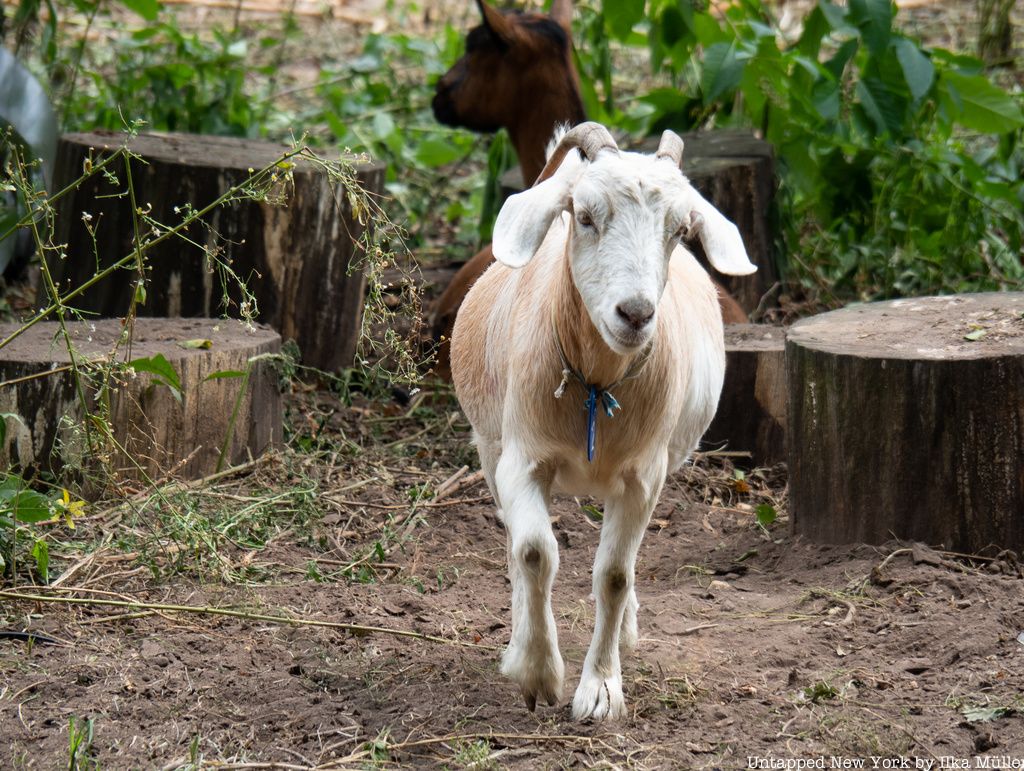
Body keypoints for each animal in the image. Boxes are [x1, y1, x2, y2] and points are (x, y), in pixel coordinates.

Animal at [452, 121, 757, 720]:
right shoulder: (523, 458)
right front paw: (538, 674)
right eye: (587, 217)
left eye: (680, 230)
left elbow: (614, 575)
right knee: (514, 541)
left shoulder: (644, 476)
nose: (635, 314)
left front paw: (600, 690)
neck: (596, 387)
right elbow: (533, 551)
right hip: (489, 445)